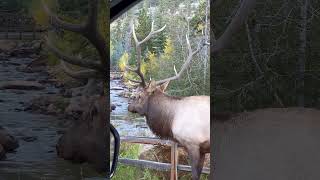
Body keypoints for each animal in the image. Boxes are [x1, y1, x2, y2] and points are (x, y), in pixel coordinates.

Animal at [125, 20, 210, 179]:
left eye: (139, 96)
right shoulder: (201, 149)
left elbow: (195, 174)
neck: (171, 120)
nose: (129, 106)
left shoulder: (193, 144)